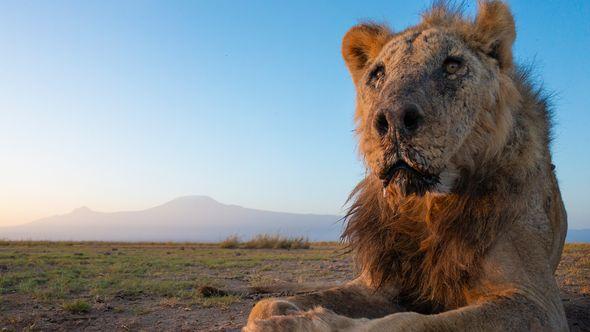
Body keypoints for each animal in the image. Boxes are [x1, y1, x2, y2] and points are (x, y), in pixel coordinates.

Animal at [244, 1, 568, 330]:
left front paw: (307, 322)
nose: (394, 119)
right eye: (377, 74)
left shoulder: (535, 301)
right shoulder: (381, 282)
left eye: (452, 65)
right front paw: (280, 315)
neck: (425, 207)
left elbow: (402, 323)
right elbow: (265, 304)